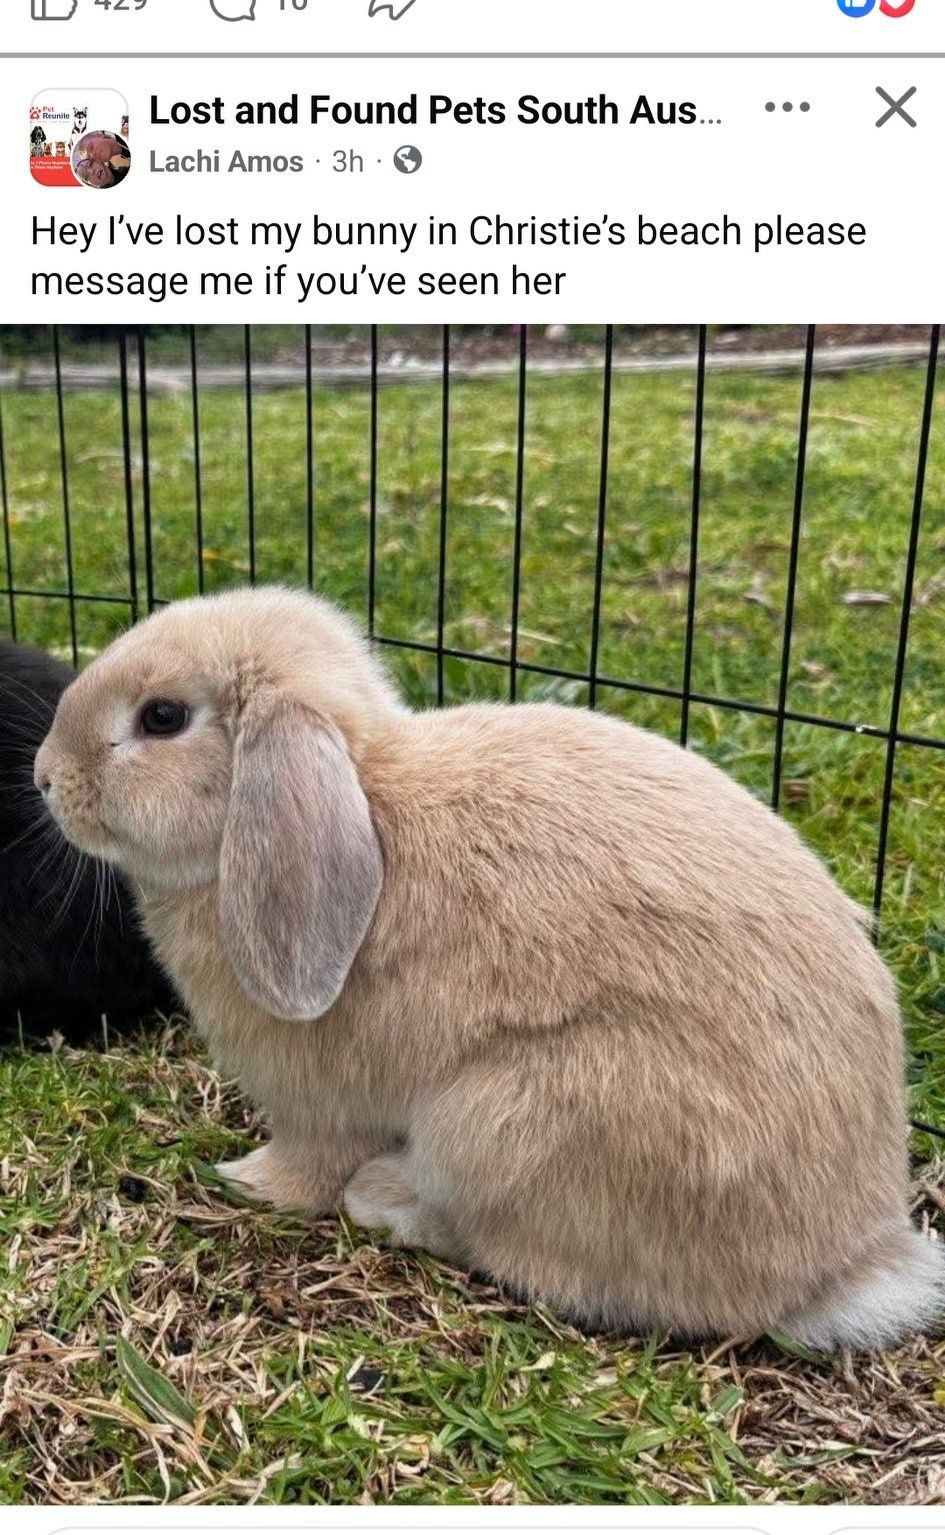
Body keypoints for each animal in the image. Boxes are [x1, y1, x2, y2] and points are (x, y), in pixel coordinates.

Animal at [33, 585, 942, 1349]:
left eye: (161, 717)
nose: (44, 778)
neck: (364, 792)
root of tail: (841, 1265)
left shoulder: (314, 1102)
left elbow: (307, 1161)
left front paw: (246, 1180)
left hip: (499, 1121)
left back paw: (385, 1197)